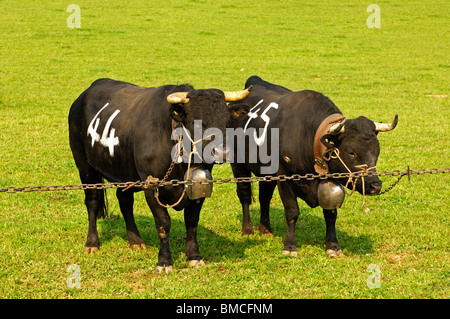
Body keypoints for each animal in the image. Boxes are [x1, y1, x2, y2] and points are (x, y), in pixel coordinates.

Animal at [68, 78, 251, 272]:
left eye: (227, 121)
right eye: (195, 121)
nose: (222, 152)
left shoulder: (199, 186)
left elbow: (192, 221)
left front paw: (194, 256)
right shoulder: (151, 187)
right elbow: (163, 223)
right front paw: (164, 261)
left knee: (125, 201)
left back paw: (135, 240)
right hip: (85, 167)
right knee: (93, 201)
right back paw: (92, 243)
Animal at [229, 76, 398, 258]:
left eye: (377, 151)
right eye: (351, 152)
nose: (375, 186)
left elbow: (330, 213)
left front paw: (333, 245)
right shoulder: (285, 177)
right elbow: (292, 212)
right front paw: (290, 246)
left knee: (264, 196)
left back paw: (265, 229)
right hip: (238, 163)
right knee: (244, 194)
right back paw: (248, 229)